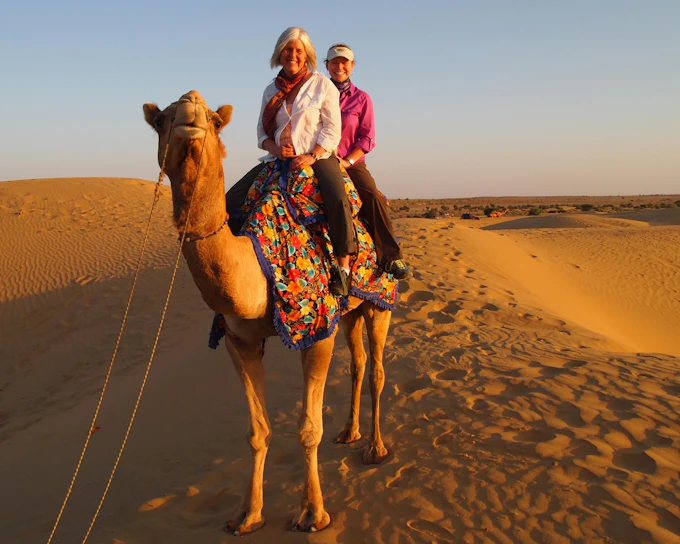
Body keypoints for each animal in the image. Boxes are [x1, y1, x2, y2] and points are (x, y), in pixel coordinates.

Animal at [143, 90, 392, 535]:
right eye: (161, 120)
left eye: (214, 120)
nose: (191, 111)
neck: (256, 270)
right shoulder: (239, 341)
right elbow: (257, 432)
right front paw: (248, 514)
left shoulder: (316, 331)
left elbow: (308, 428)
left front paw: (312, 514)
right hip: (349, 311)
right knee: (359, 362)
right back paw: (349, 433)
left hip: (381, 302)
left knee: (377, 368)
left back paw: (375, 449)